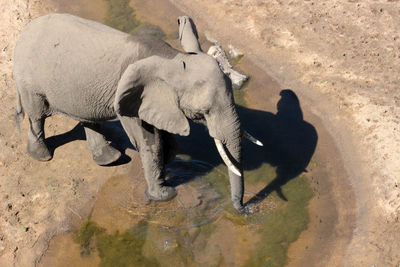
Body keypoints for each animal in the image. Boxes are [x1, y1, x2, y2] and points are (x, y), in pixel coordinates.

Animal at [12, 13, 260, 216]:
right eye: (205, 111)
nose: (247, 209)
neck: (171, 58)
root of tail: (25, 30)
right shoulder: (129, 97)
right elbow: (149, 140)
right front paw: (164, 195)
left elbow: (165, 138)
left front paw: (167, 165)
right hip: (28, 77)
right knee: (37, 115)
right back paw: (43, 156)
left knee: (87, 118)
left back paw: (110, 159)